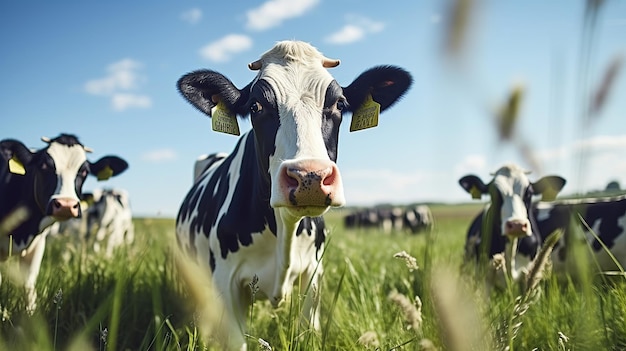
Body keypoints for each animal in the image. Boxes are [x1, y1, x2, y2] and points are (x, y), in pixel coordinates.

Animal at [173, 40, 412, 350]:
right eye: (256, 105)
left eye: (338, 104)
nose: (310, 176)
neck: (284, 229)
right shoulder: (225, 282)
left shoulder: (314, 275)